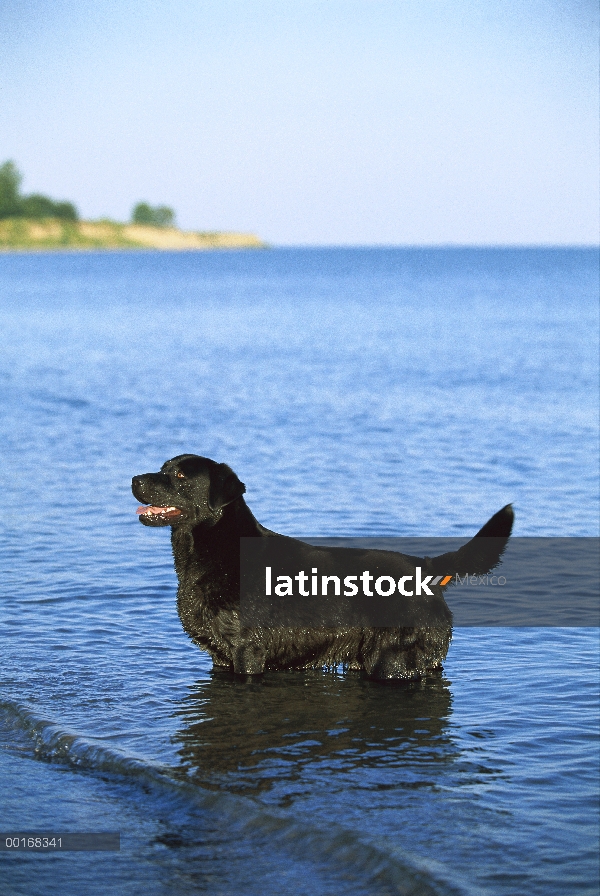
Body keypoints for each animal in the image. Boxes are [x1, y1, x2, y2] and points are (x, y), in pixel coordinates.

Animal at [134, 456, 512, 680]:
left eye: (179, 475)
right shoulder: (220, 658)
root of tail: (426, 567)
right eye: (162, 467)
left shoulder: (247, 651)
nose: (134, 479)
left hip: (393, 660)